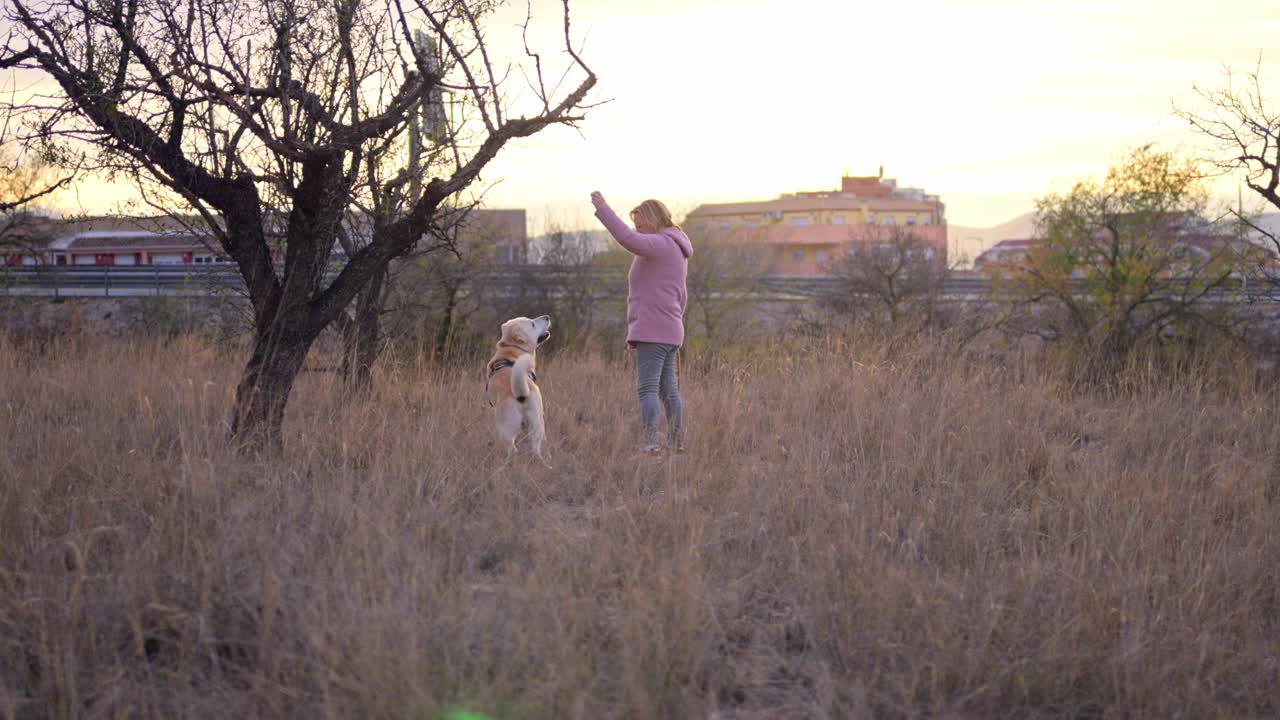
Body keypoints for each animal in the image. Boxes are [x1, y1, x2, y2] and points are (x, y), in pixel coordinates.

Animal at [483, 312, 550, 458]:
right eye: (532, 324)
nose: (547, 317)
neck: (512, 349)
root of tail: (521, 394)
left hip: (507, 430)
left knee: (512, 450)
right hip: (537, 425)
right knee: (534, 450)